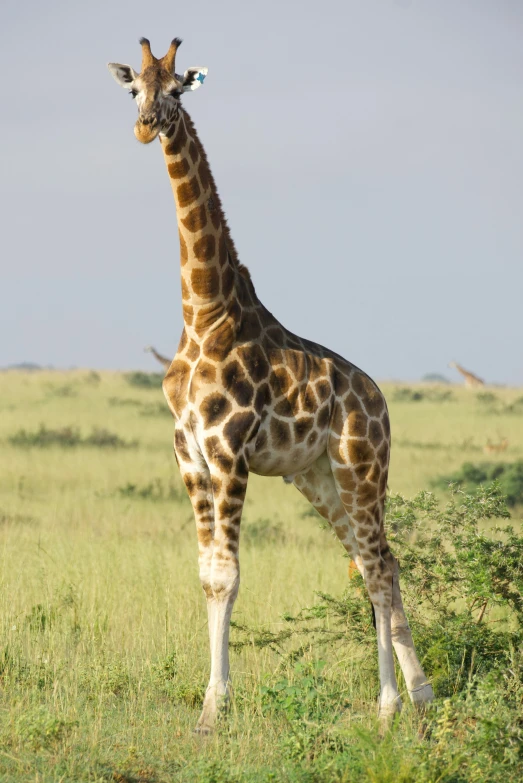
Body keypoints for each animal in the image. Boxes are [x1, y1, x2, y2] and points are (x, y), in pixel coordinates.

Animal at [107, 36, 434, 736]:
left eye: (177, 89)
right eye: (134, 89)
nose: (146, 126)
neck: (204, 312)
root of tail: (379, 400)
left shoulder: (229, 451)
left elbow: (227, 577)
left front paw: (214, 711)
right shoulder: (190, 455)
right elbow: (207, 574)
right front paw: (211, 706)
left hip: (362, 467)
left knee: (375, 566)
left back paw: (393, 704)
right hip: (318, 477)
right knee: (379, 560)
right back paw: (413, 697)